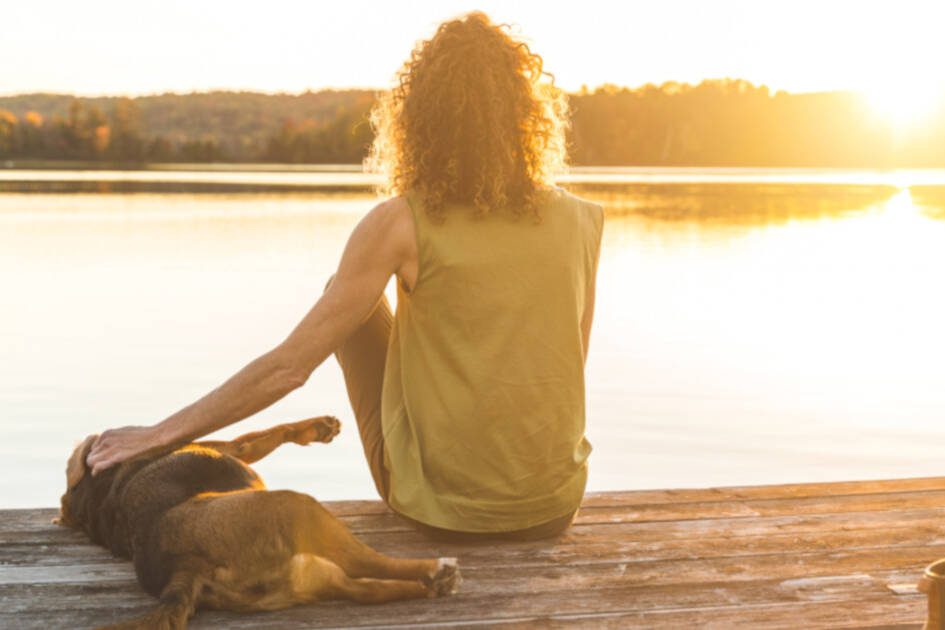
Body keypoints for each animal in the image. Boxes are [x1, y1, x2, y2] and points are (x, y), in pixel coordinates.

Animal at [56, 418, 460, 628]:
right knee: (369, 563)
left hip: (312, 576)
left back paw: (429, 588)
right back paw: (437, 569)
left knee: (369, 590)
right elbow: (267, 433)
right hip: (299, 508)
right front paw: (316, 428)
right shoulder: (233, 447)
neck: (94, 492)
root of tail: (183, 567)